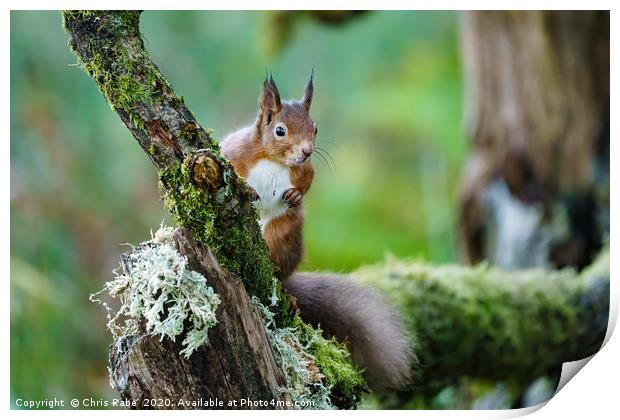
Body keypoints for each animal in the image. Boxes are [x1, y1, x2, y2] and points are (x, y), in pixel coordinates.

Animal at [220, 74, 414, 390]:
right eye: (280, 130)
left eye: (315, 128)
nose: (307, 151)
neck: (275, 161)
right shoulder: (233, 151)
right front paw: (248, 189)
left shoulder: (305, 170)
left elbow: (307, 181)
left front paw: (297, 195)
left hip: (283, 235)